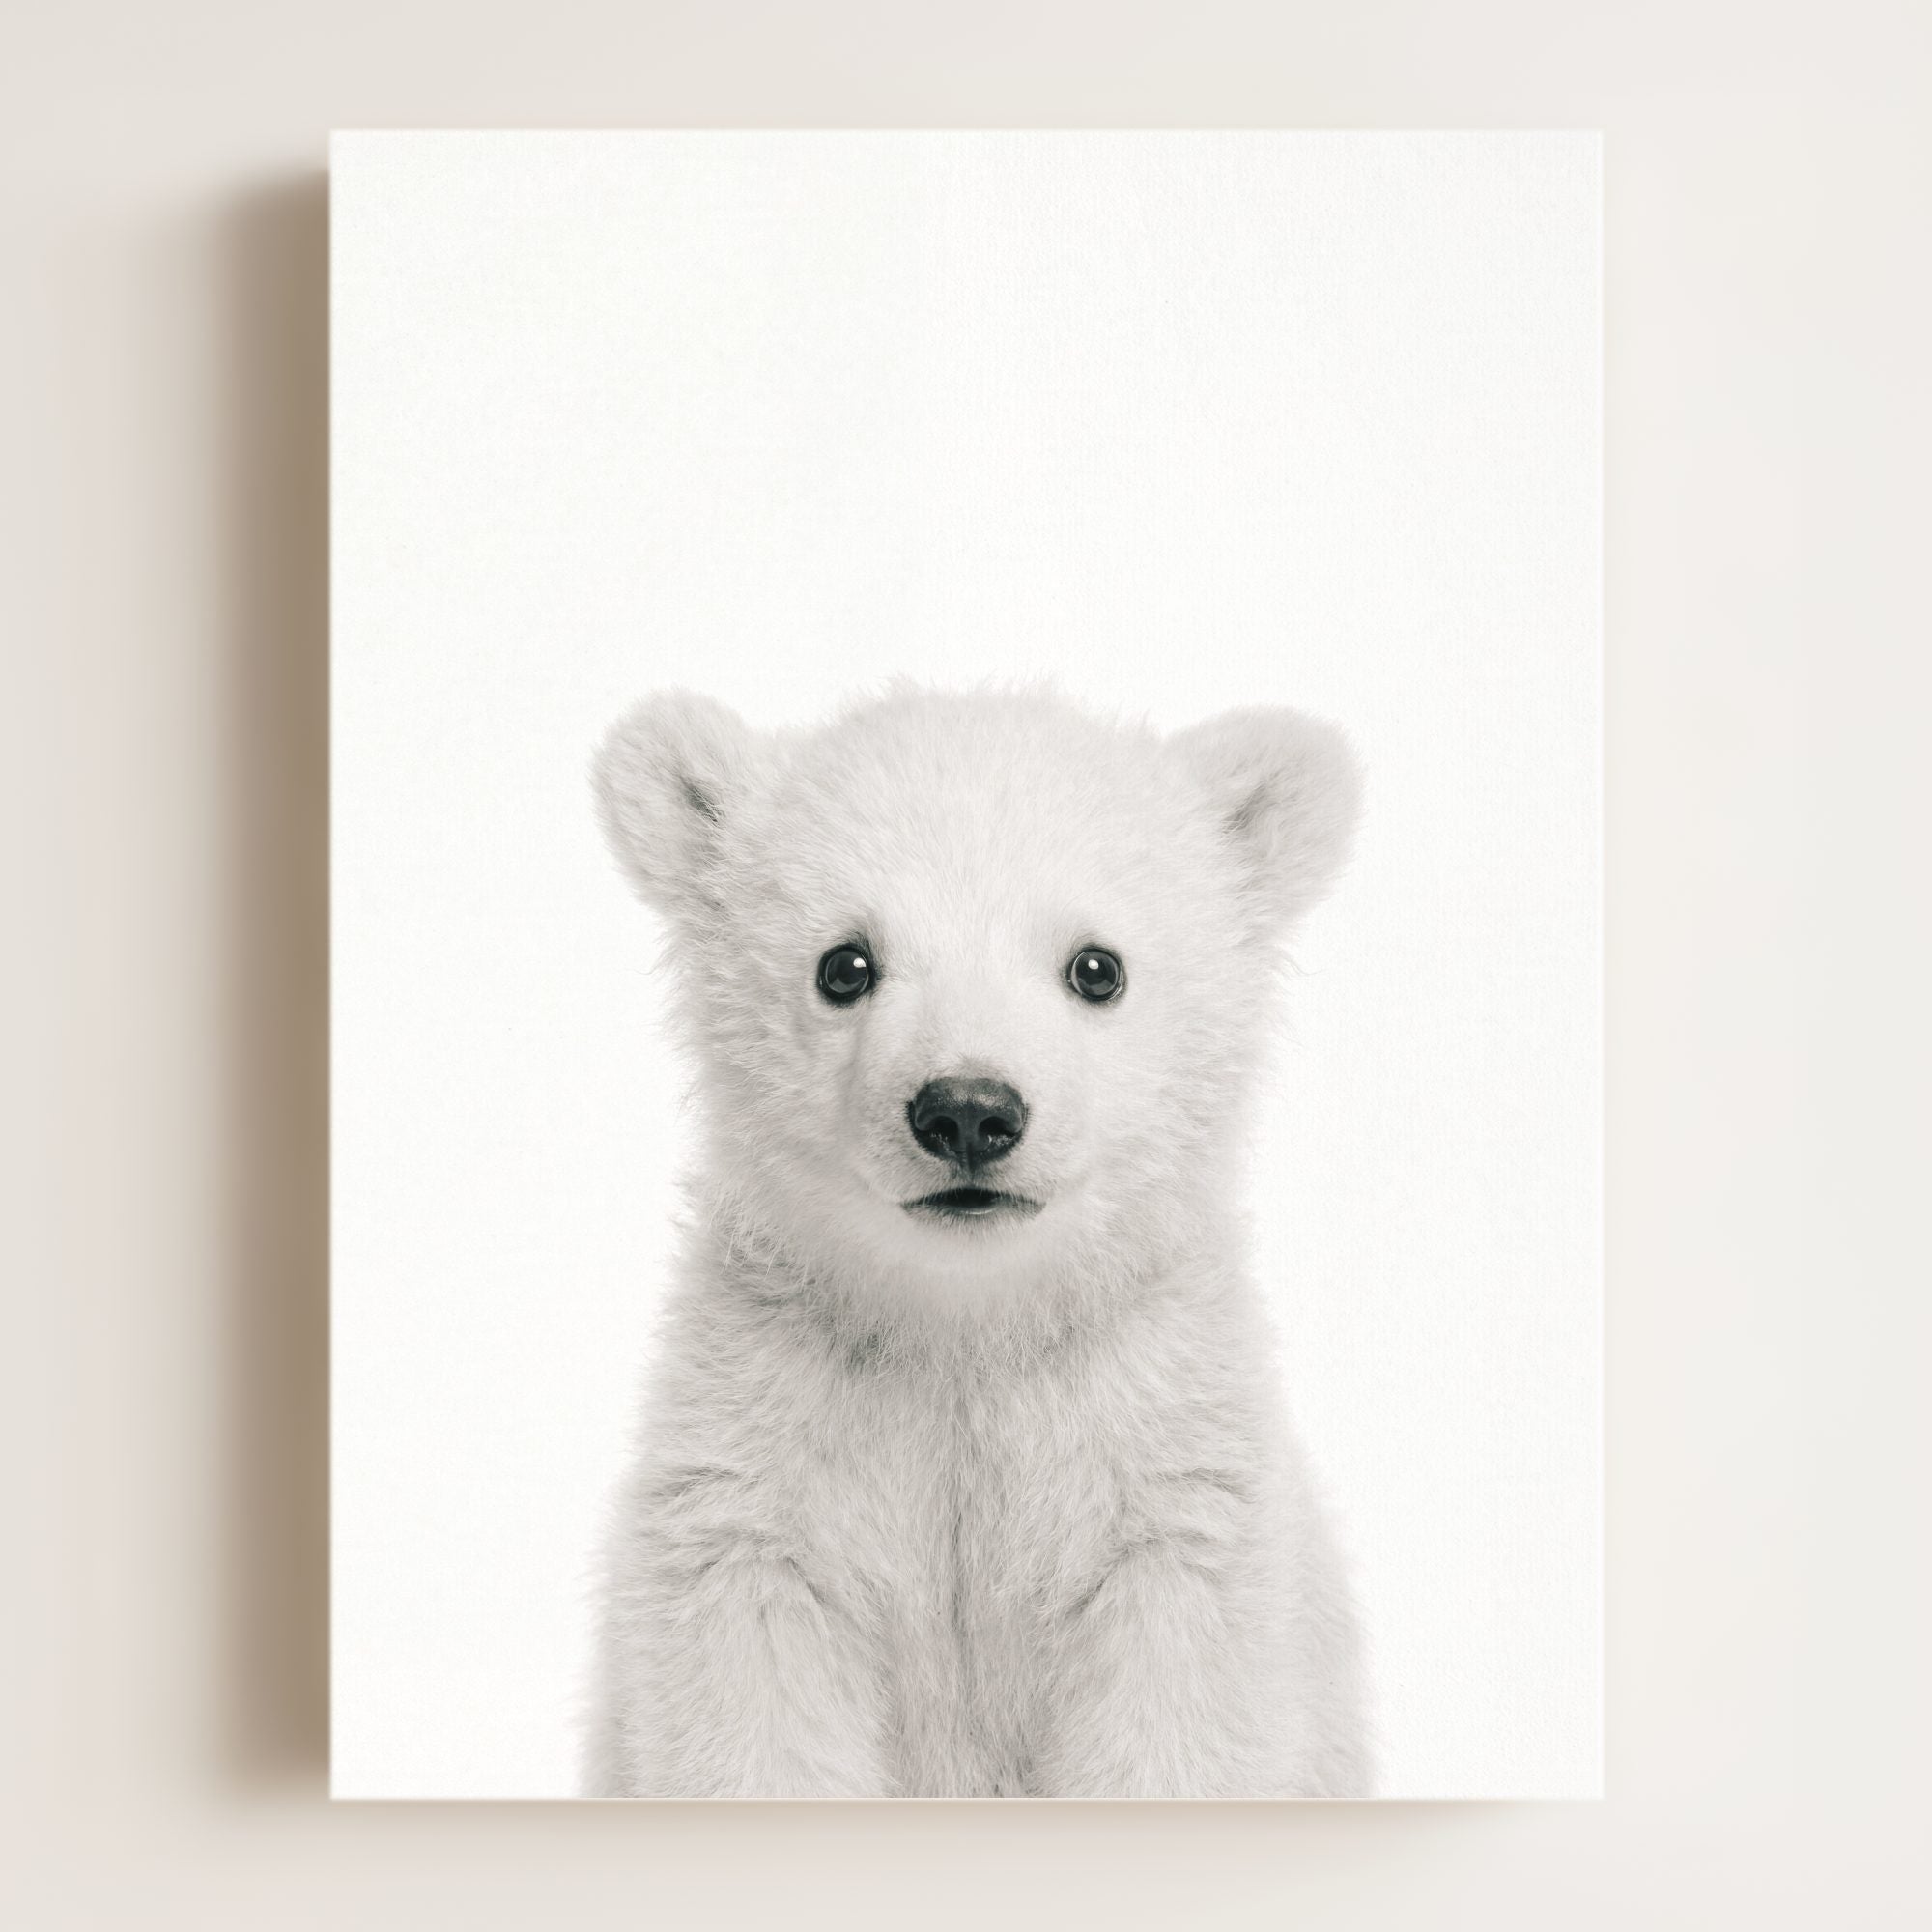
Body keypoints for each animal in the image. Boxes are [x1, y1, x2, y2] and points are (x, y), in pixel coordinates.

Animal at [582, 682, 1373, 1798]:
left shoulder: (1163, 1478)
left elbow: (1176, 1719)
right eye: (844, 963)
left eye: (1096, 967)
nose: (966, 1110)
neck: (966, 1327)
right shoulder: (759, 1466)